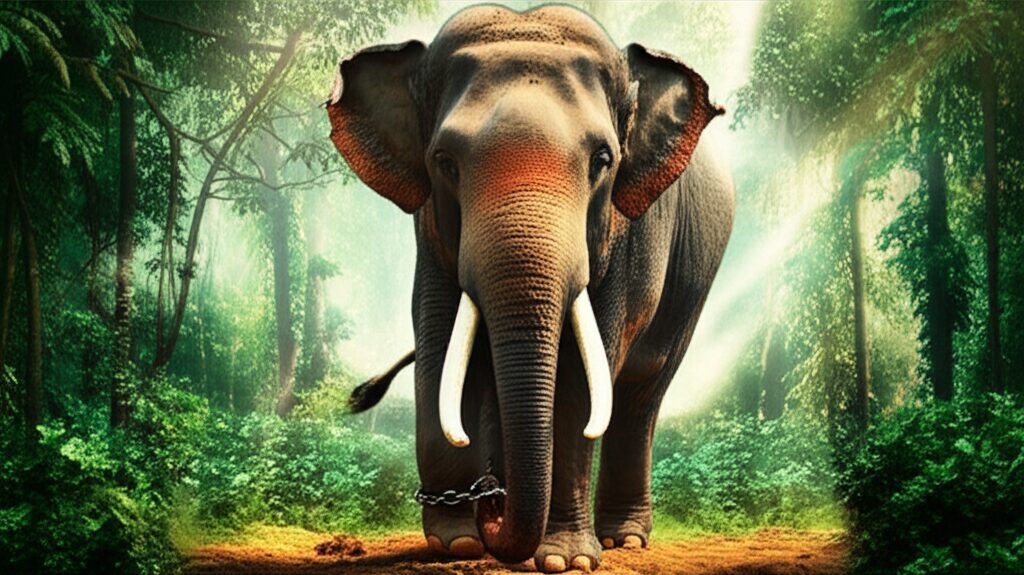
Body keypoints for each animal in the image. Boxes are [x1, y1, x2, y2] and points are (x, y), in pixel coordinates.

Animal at [327, 5, 733, 573]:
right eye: (444, 162)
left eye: (603, 161)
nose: (491, 501)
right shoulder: (430, 231)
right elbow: (440, 349)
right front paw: (456, 543)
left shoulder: (624, 237)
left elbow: (581, 383)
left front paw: (566, 560)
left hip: (692, 287)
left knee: (641, 397)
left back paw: (625, 541)